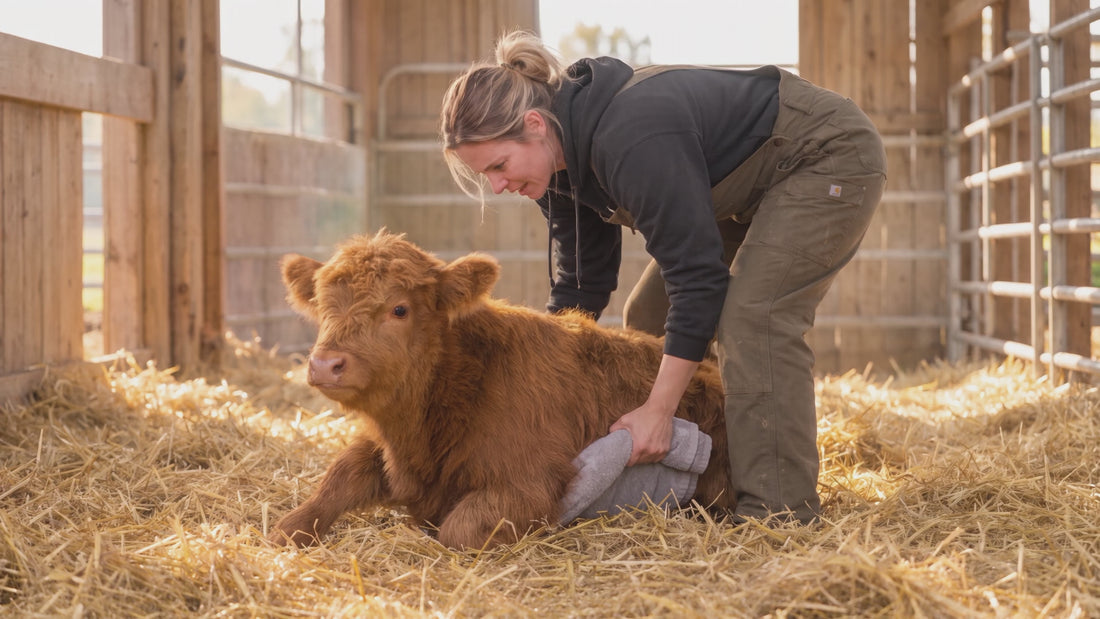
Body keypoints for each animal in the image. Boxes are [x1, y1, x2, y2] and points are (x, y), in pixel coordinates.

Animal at [268, 230, 733, 549]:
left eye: (399, 308)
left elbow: (457, 530)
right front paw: (291, 526)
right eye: (323, 305)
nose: (326, 364)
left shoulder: (528, 485)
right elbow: (336, 479)